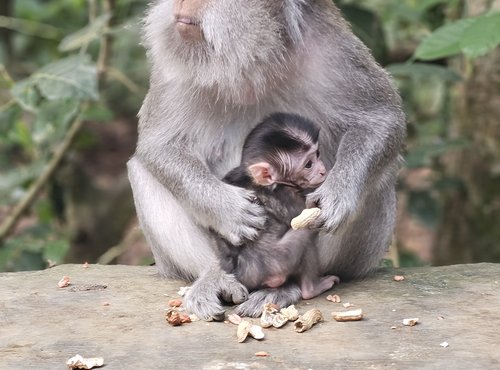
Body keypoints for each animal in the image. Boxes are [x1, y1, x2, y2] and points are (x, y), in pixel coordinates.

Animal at [216, 112, 340, 300]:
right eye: (308, 164)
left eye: (317, 154)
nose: (323, 171)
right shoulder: (288, 194)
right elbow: (302, 214)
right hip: (280, 260)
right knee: (306, 237)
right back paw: (311, 288)